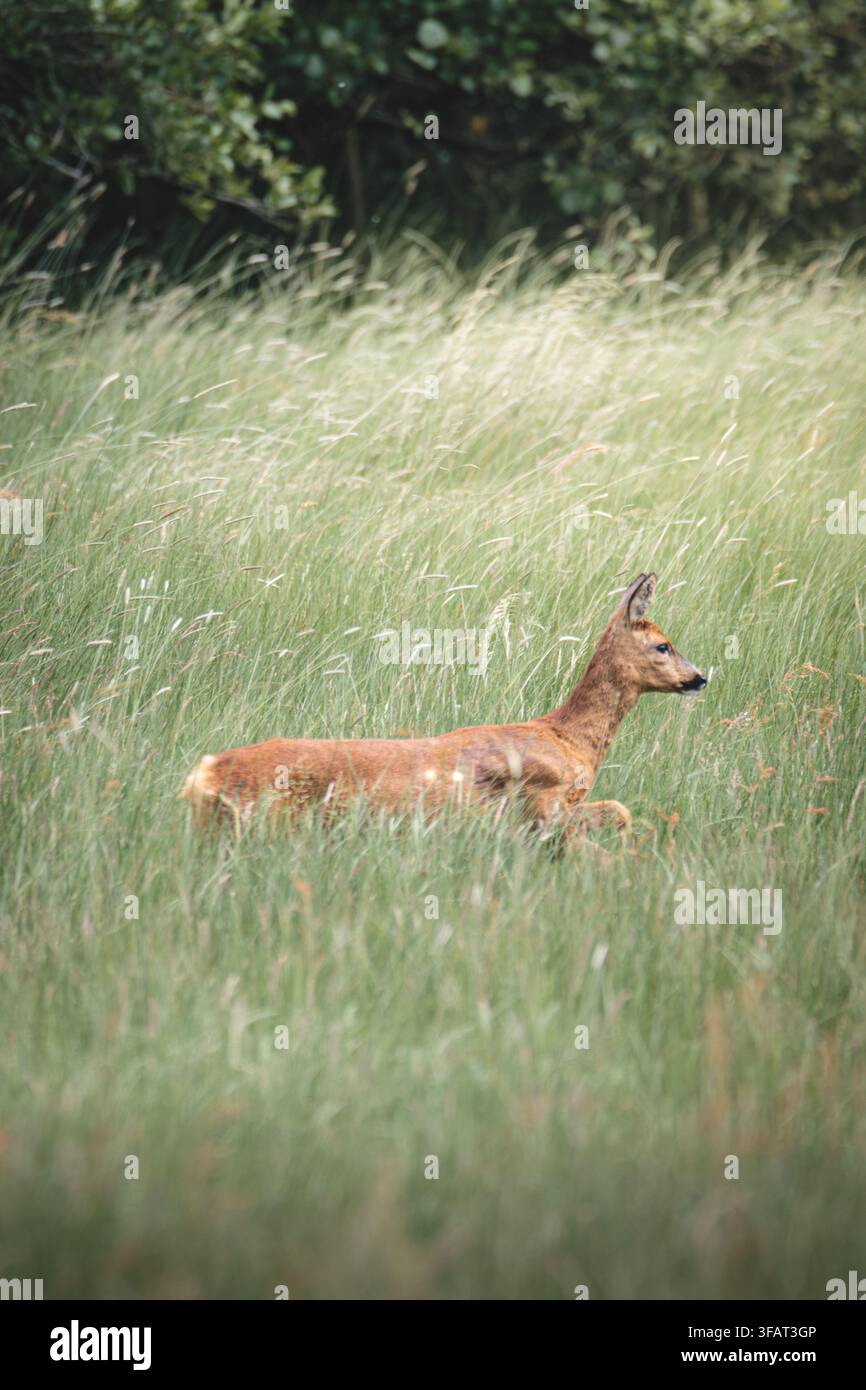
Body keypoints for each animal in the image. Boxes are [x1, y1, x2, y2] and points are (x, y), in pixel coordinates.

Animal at [181, 572, 706, 845]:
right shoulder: (542, 804)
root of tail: (203, 774)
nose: (701, 677)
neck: (570, 740)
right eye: (663, 645)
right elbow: (618, 812)